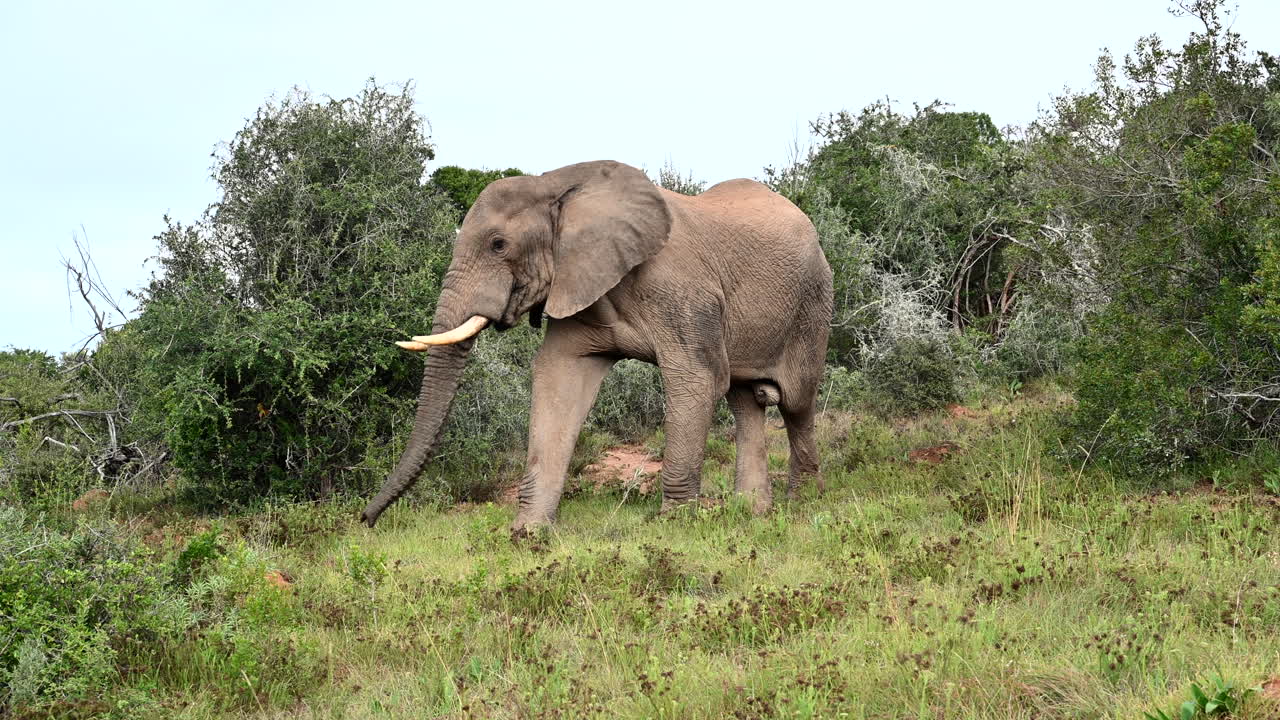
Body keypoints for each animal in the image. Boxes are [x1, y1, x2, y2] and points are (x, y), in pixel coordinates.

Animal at [360, 160, 833, 532]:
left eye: (498, 244)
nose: (366, 520)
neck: (560, 184)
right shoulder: (578, 284)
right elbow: (559, 380)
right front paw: (528, 533)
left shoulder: (684, 293)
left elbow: (695, 381)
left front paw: (675, 526)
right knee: (744, 400)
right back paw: (753, 512)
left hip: (813, 306)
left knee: (796, 402)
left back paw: (802, 503)